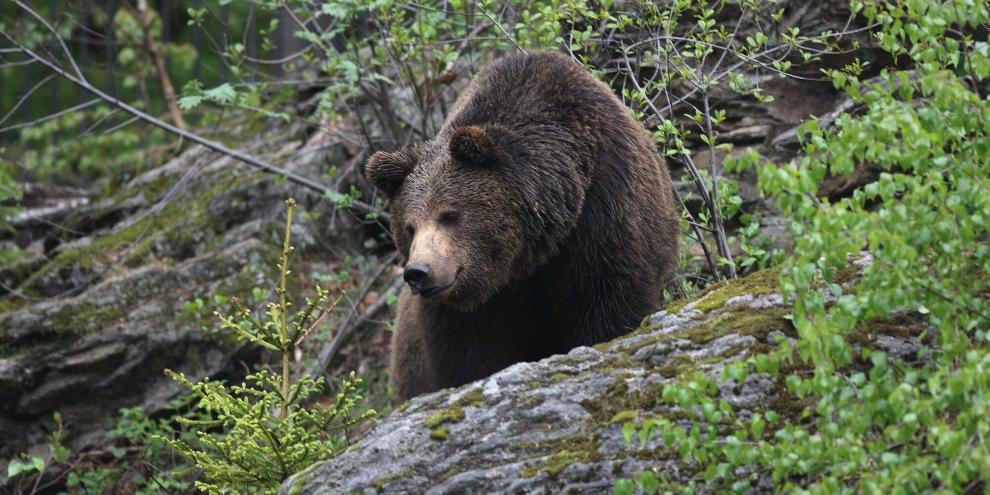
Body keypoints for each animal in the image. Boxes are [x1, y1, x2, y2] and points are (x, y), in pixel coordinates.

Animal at [365, 51, 679, 401]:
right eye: (409, 226)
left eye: (449, 214)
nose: (419, 271)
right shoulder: (469, 308)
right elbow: (469, 354)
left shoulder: (604, 211)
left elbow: (609, 301)